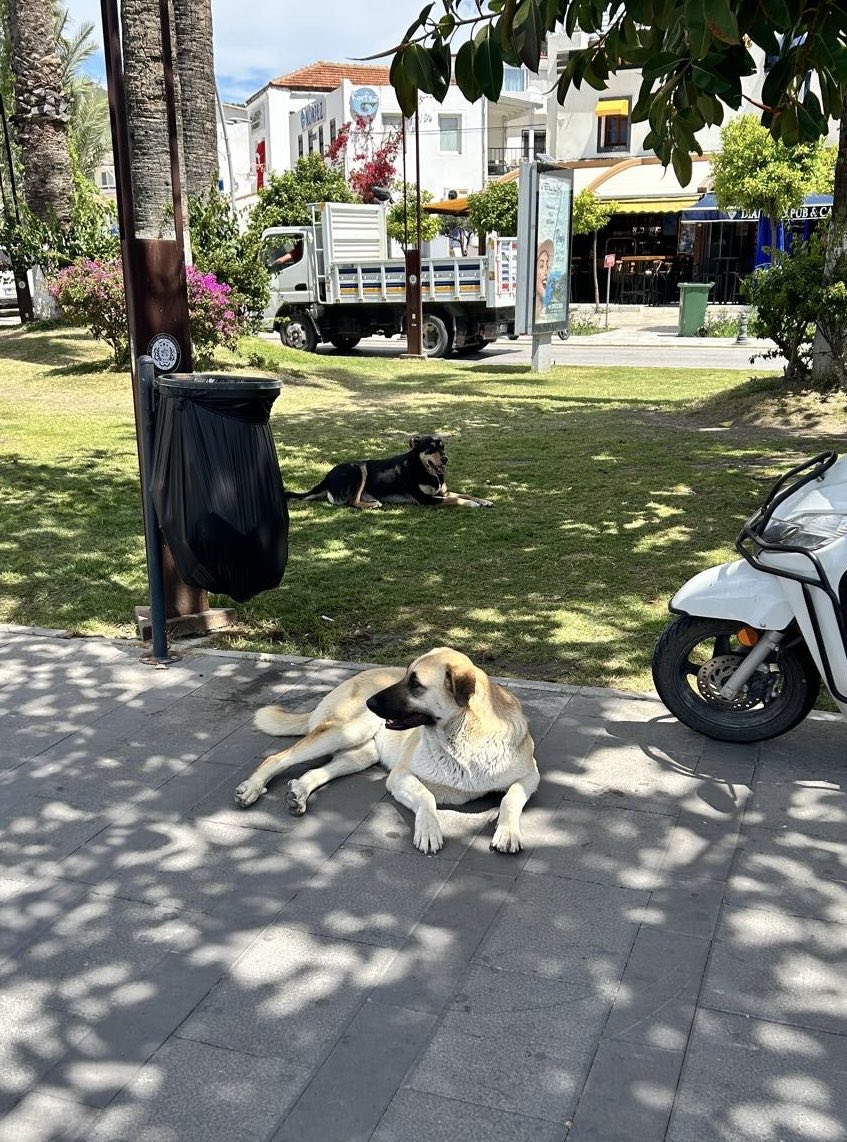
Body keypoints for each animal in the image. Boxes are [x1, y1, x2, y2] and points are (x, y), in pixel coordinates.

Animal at [234, 648, 536, 854]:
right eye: (404, 676)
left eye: (415, 684)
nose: (370, 702)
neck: (463, 738)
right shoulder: (400, 776)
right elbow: (426, 796)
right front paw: (428, 830)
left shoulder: (530, 777)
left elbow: (510, 798)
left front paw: (508, 832)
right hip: (347, 731)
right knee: (277, 757)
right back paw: (252, 788)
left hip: (361, 754)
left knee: (318, 771)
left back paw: (299, 793)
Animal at [286, 431, 490, 509]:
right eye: (431, 449)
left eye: (443, 447)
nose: (446, 459)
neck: (423, 469)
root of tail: (326, 477)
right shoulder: (426, 499)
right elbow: (455, 499)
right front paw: (471, 504)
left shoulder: (442, 492)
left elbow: (464, 493)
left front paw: (484, 500)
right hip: (358, 468)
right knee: (352, 502)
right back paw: (372, 505)